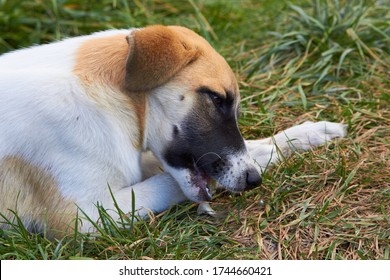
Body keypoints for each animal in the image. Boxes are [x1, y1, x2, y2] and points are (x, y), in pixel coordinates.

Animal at [0, 25, 348, 236]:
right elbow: (168, 183)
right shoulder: (82, 216)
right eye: (216, 99)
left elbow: (254, 147)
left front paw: (306, 135)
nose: (253, 181)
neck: (111, 100)